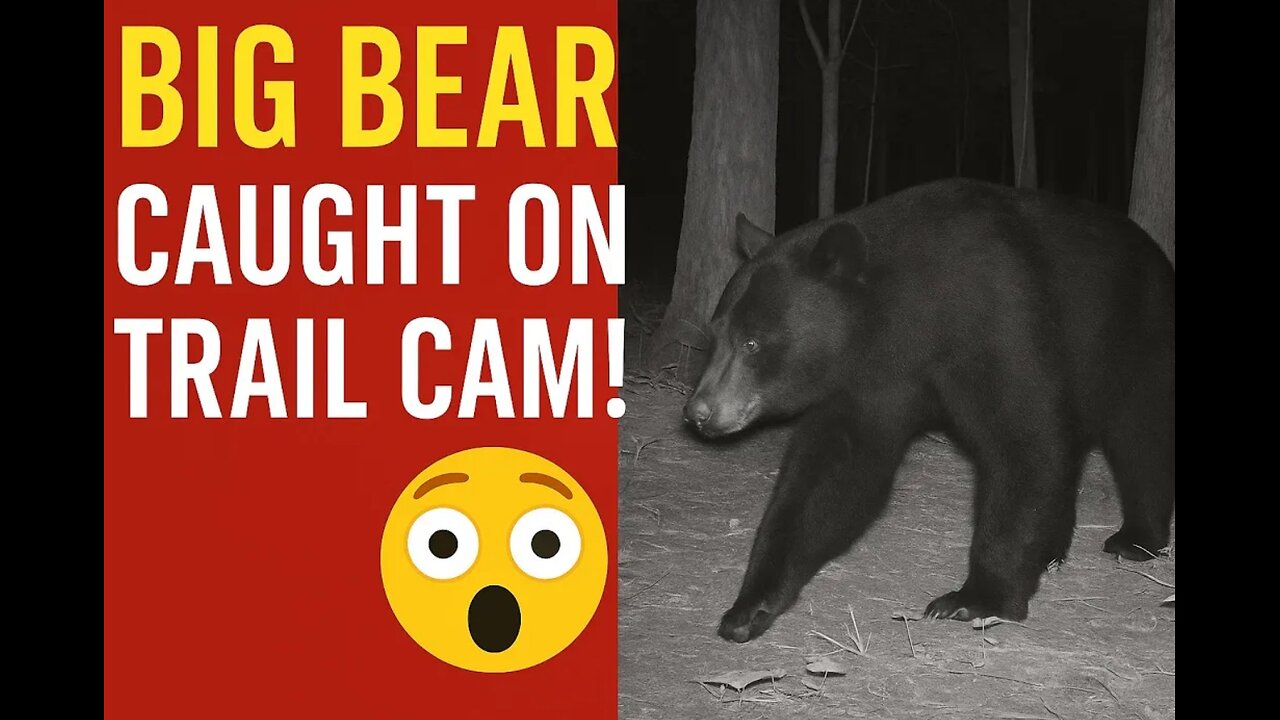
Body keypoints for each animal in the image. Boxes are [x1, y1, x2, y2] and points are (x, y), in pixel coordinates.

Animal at [682, 178, 1175, 643]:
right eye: (716, 333)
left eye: (753, 343)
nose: (698, 412)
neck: (909, 314)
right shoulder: (870, 379)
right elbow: (833, 473)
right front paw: (749, 607)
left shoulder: (999, 320)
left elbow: (1023, 441)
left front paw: (975, 598)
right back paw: (1053, 550)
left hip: (1135, 338)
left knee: (1141, 438)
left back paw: (1136, 539)